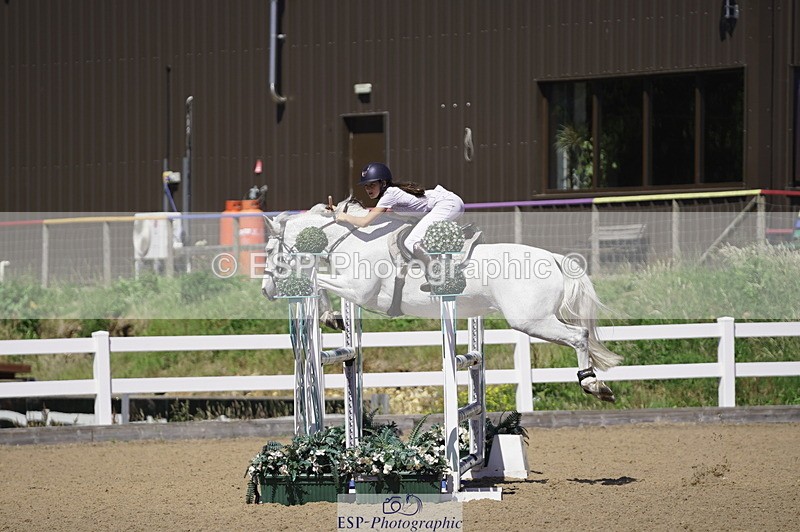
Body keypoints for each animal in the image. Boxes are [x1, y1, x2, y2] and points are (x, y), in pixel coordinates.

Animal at [260, 199, 622, 402]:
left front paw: (328, 315)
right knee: (579, 335)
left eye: (268, 249)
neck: (352, 240)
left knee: (579, 336)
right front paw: (332, 318)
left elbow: (317, 282)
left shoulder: (358, 291)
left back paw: (593, 385)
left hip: (530, 321)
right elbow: (319, 282)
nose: (265, 291)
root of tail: (555, 258)